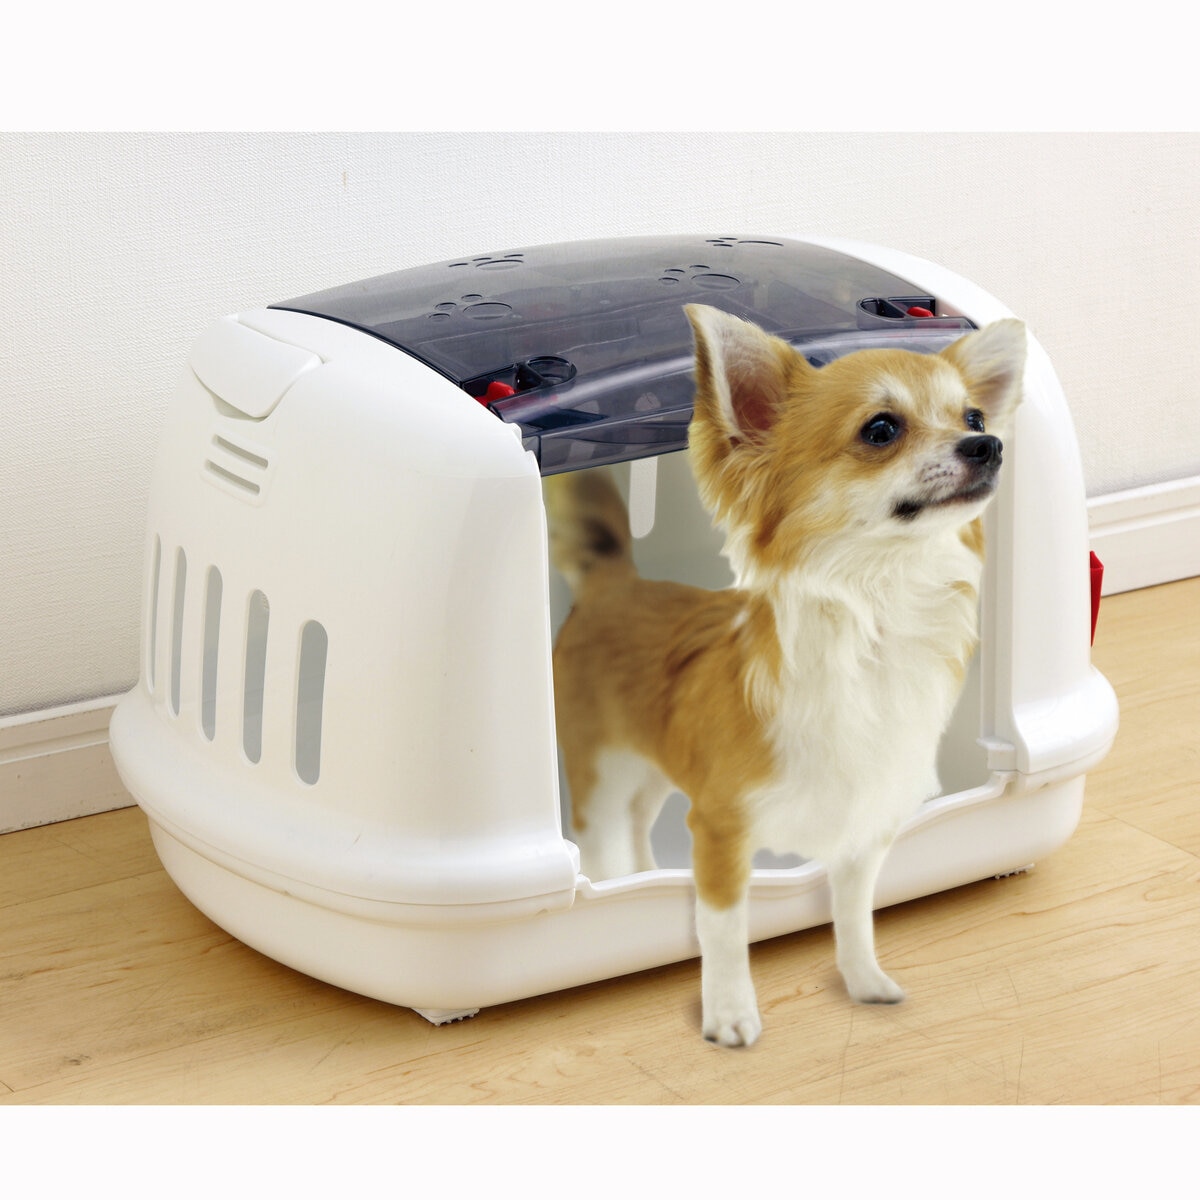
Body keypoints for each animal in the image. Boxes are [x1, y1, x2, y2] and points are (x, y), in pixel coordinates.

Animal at [546, 304, 1026, 1046]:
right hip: (603, 771)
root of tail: (614, 581)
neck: (875, 615)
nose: (989, 446)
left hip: (654, 768)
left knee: (636, 825)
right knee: (601, 842)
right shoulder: (720, 827)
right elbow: (723, 929)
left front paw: (863, 982)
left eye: (973, 416)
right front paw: (729, 1014)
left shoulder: (863, 832)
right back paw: (615, 894)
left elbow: (854, 917)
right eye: (881, 429)